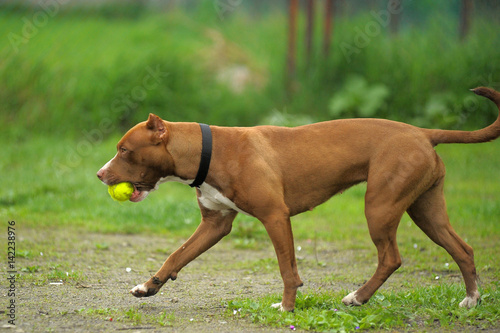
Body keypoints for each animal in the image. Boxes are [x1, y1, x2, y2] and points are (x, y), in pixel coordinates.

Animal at [95, 87, 498, 310]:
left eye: (124, 150)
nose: (99, 174)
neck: (208, 151)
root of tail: (422, 133)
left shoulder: (275, 217)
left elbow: (287, 269)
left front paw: (287, 307)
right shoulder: (215, 224)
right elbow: (176, 256)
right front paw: (149, 286)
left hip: (379, 207)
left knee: (391, 258)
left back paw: (358, 297)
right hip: (426, 211)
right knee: (462, 249)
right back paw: (471, 299)